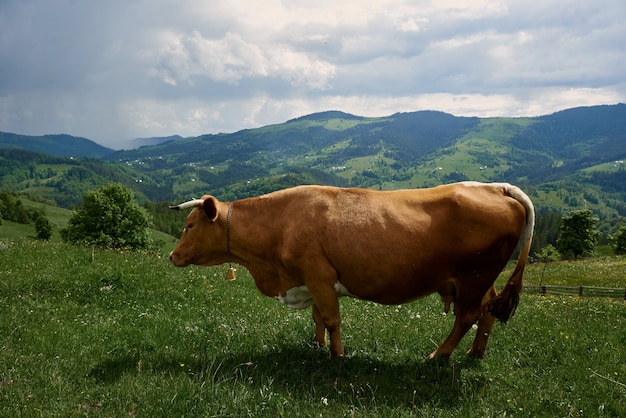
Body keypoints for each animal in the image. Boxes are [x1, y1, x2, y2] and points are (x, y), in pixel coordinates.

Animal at [169, 181, 532, 358]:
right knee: (486, 312)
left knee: (467, 317)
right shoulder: (311, 281)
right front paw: (317, 347)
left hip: (474, 277)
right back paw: (475, 353)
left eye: (189, 225)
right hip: (480, 280)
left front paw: (338, 356)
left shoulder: (319, 275)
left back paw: (438, 356)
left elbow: (331, 319)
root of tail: (494, 187)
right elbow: (317, 317)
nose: (172, 256)